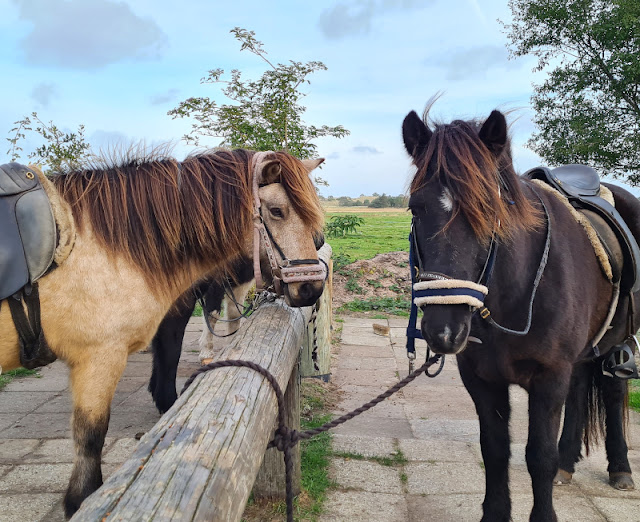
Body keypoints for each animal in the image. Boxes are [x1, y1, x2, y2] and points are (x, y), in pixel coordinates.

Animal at [0, 148, 322, 512]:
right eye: (277, 211)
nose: (310, 288)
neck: (107, 248)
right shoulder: (102, 356)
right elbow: (167, 357)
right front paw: (170, 401)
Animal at [404, 106, 640, 520]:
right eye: (417, 208)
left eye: (488, 209)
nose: (444, 330)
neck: (513, 295)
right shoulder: (482, 379)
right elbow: (495, 451)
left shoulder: (548, 377)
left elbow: (539, 457)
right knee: (580, 388)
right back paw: (569, 461)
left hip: (613, 343)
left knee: (613, 390)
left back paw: (621, 469)